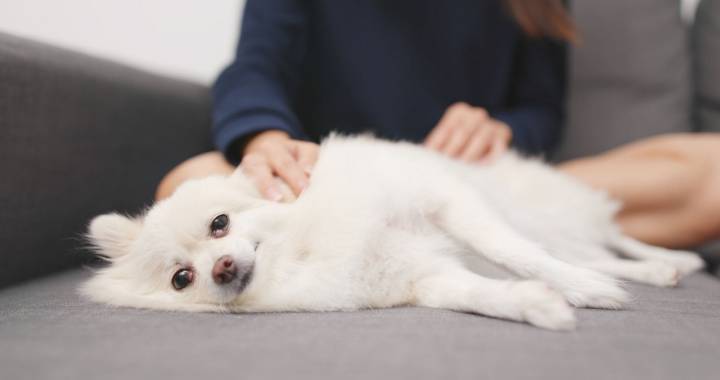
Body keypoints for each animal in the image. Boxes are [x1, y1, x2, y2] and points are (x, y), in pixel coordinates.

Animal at [83, 136, 704, 330]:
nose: (222, 268)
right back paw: (657, 269)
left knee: (599, 240)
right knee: (597, 250)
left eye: (220, 223)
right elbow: (481, 293)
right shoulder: (426, 279)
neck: (304, 249)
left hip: (541, 215)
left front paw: (581, 292)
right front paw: (537, 306)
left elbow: (511, 252)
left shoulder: (448, 201)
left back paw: (667, 261)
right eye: (181, 279)